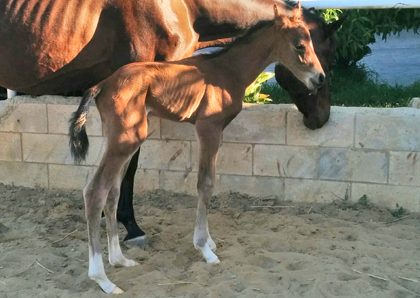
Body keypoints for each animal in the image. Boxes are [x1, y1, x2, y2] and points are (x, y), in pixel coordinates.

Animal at [69, 4, 324, 294]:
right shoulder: (208, 128)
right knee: (94, 191)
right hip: (127, 140)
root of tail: (101, 85)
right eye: (299, 45)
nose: (320, 79)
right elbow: (205, 183)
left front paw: (209, 241)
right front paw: (205, 248)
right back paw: (102, 278)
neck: (227, 70)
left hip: (121, 140)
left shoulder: (216, 131)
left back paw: (120, 259)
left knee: (111, 191)